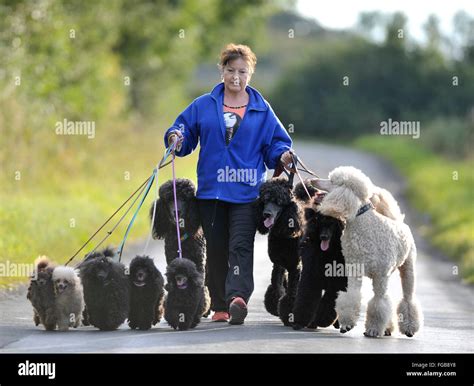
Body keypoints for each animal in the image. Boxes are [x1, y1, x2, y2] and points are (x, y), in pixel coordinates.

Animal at [314, 166, 422, 338]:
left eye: (332, 181)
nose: (312, 180)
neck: (362, 223)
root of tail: (400, 222)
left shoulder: (380, 275)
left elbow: (379, 302)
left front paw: (373, 330)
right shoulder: (354, 270)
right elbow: (352, 295)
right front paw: (347, 325)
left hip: (407, 267)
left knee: (407, 296)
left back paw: (409, 328)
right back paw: (387, 328)